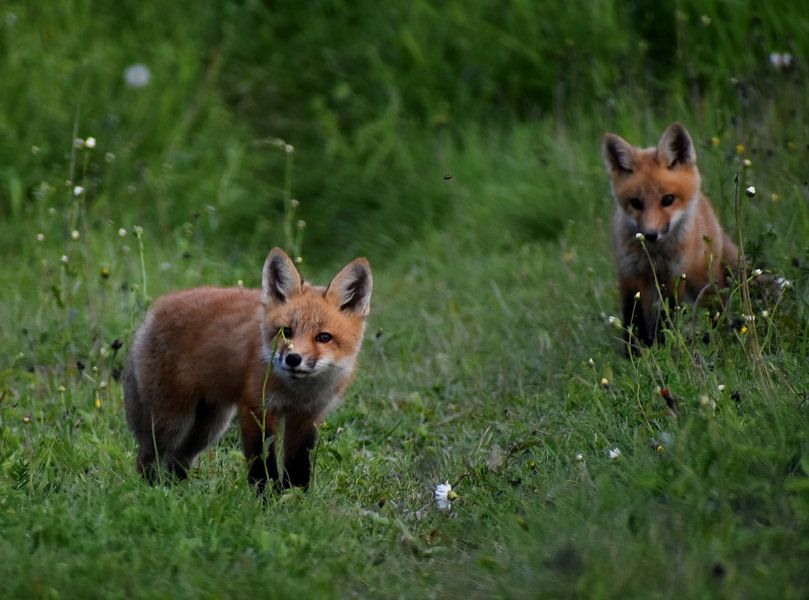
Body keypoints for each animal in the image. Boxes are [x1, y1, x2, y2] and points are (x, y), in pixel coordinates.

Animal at [123, 247, 372, 492]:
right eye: (286, 332)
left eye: (324, 337)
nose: (293, 359)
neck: (298, 393)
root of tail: (153, 312)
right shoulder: (256, 408)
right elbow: (262, 464)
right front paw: (266, 498)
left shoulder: (307, 417)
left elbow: (298, 467)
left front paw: (294, 498)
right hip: (174, 422)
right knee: (149, 457)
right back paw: (152, 490)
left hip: (208, 427)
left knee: (178, 460)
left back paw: (179, 491)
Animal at [601, 122, 738, 350]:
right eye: (636, 203)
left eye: (668, 200)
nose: (650, 234)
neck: (654, 256)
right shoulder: (630, 275)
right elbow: (633, 321)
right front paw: (636, 353)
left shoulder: (673, 276)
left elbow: (666, 321)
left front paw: (662, 348)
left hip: (704, 282)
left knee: (717, 307)